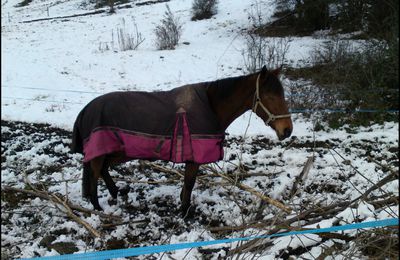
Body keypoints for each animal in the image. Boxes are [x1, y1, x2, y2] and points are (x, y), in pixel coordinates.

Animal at [70, 66, 292, 214]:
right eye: (270, 96)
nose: (287, 130)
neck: (211, 105)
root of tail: (86, 109)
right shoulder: (193, 158)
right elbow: (190, 183)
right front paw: (185, 211)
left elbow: (187, 184)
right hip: (107, 151)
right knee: (95, 174)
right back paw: (97, 207)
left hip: (117, 151)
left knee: (102, 169)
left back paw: (116, 192)